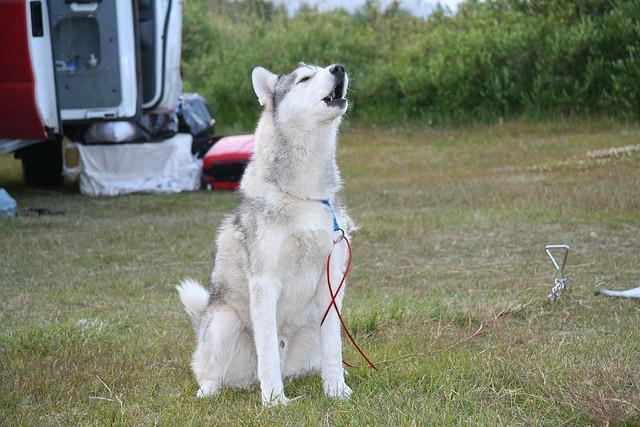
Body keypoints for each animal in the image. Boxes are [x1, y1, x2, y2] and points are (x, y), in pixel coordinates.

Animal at [178, 61, 352, 406]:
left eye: (324, 67)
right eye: (305, 78)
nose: (338, 68)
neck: (305, 195)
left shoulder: (331, 283)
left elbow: (334, 348)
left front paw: (337, 391)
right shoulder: (265, 282)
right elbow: (268, 350)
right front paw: (274, 401)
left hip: (311, 322)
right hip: (224, 322)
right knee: (210, 372)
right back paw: (208, 390)